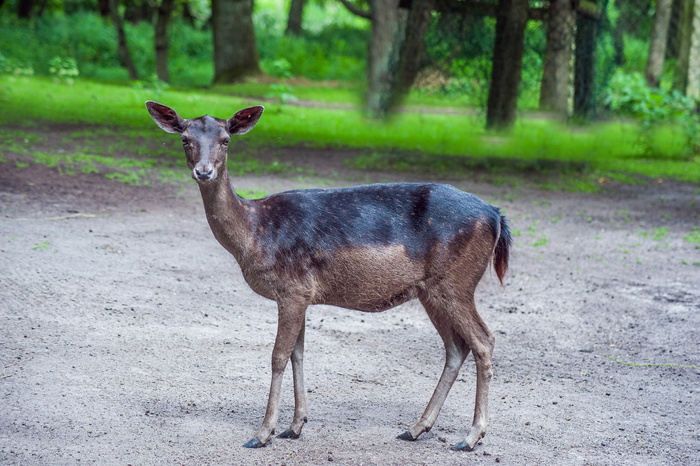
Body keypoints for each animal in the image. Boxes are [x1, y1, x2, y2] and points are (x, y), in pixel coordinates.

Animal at [145, 99, 512, 452]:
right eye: (185, 138)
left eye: (225, 139)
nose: (203, 171)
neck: (256, 234)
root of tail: (496, 215)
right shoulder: (302, 294)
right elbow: (298, 352)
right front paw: (294, 426)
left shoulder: (292, 289)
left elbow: (278, 355)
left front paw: (262, 433)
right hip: (430, 291)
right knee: (456, 347)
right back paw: (416, 428)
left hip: (456, 282)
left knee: (484, 340)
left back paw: (470, 436)